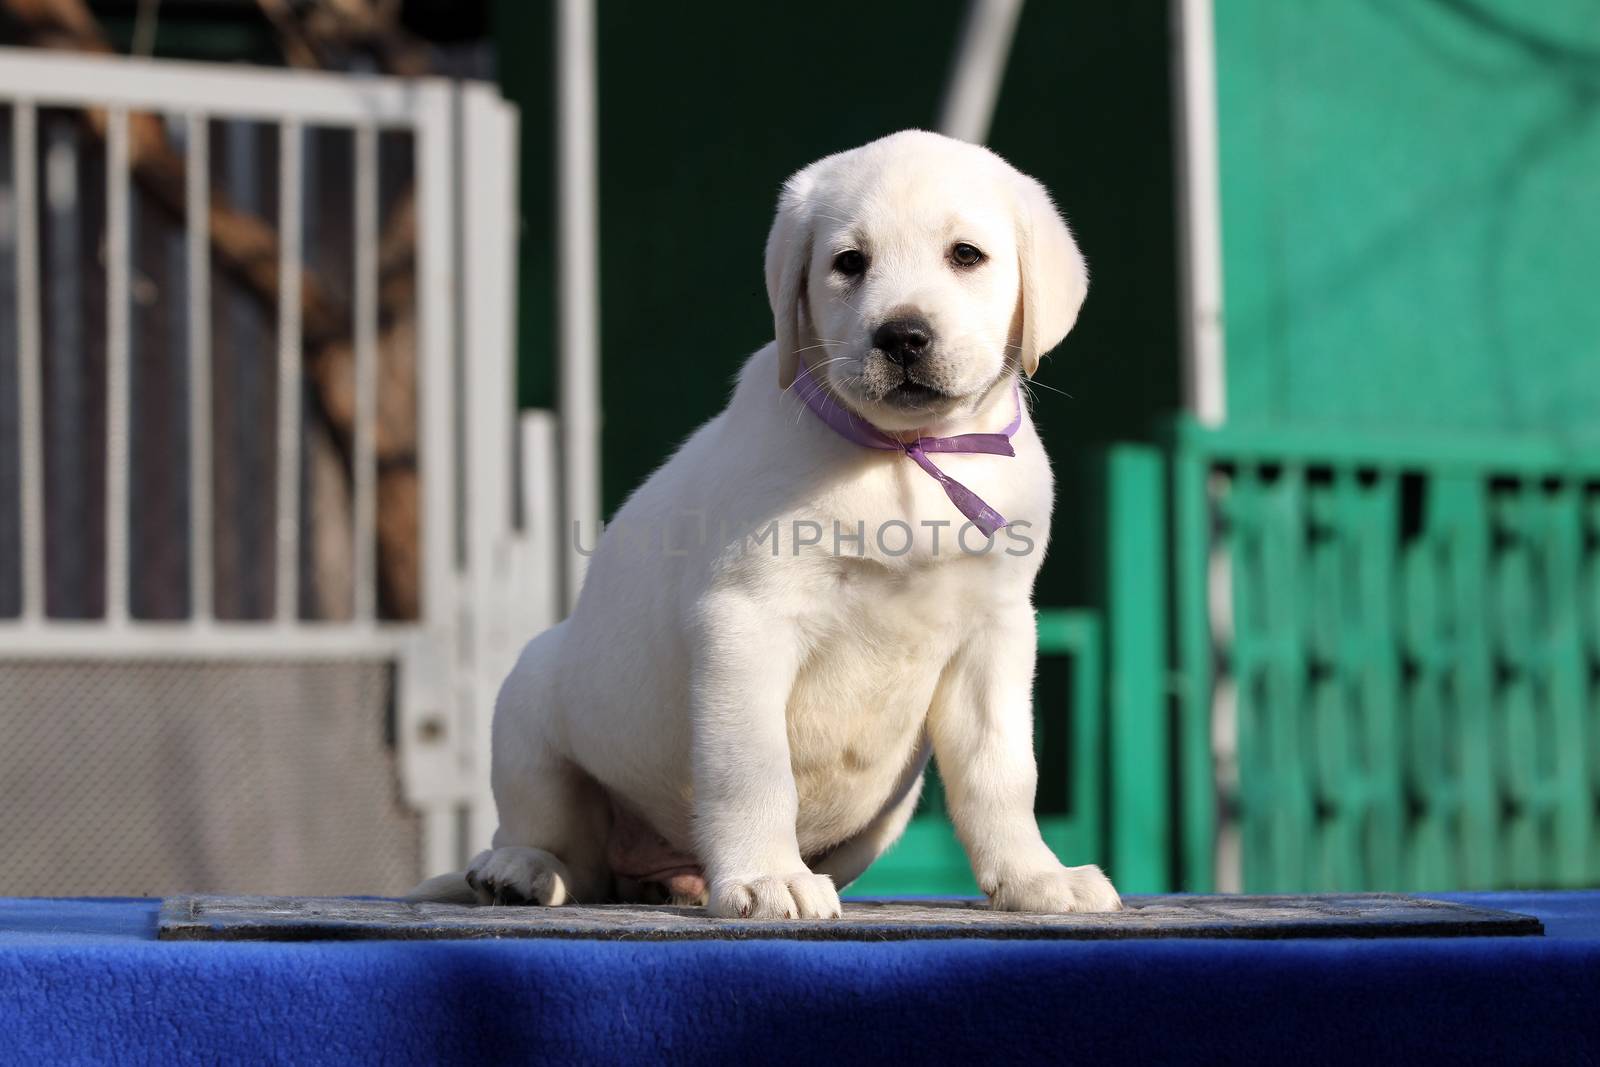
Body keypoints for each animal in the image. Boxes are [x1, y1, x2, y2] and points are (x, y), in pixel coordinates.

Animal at [419, 131, 1132, 921]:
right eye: (848, 262)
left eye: (966, 255)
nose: (903, 336)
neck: (904, 455)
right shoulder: (746, 618)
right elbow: (753, 769)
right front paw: (766, 876)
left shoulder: (997, 629)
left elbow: (1002, 769)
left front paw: (1034, 875)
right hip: (532, 697)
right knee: (557, 840)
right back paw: (519, 868)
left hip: (884, 814)